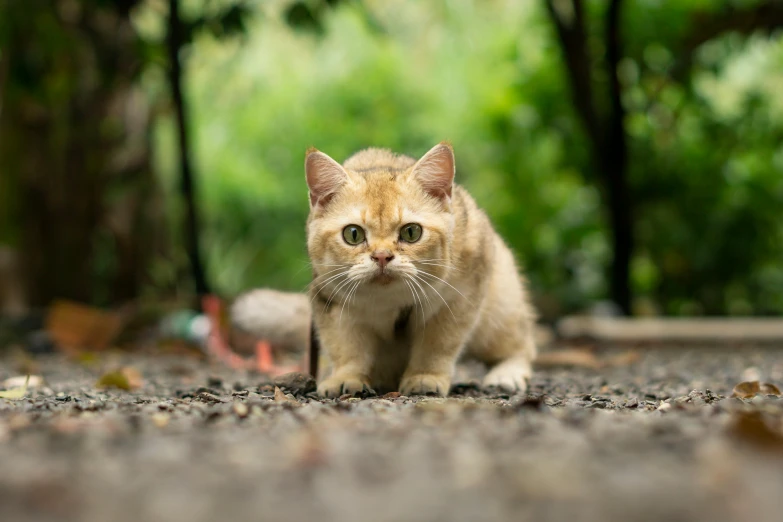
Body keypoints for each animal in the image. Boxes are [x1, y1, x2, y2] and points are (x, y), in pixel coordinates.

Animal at [306, 142, 540, 394]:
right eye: (353, 234)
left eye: (411, 232)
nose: (382, 256)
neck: (389, 299)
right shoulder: (330, 300)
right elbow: (346, 347)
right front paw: (345, 377)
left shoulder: (461, 295)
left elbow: (437, 344)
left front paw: (425, 376)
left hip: (499, 310)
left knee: (522, 344)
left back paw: (507, 374)